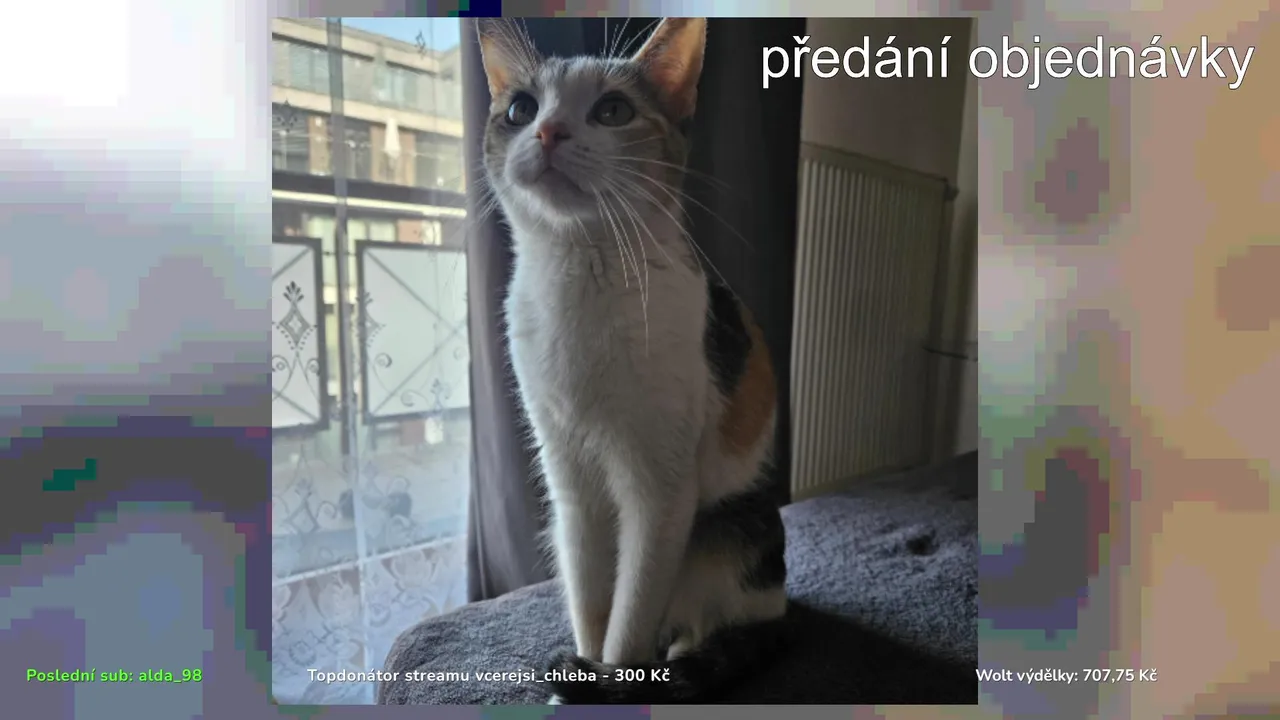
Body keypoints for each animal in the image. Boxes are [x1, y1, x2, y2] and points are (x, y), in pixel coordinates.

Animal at [476, 17, 788, 704]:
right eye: (521, 109)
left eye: (612, 111)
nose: (548, 131)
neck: (578, 274)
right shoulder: (569, 480)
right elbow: (591, 600)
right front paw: (581, 669)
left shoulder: (661, 489)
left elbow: (630, 613)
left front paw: (612, 681)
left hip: (729, 522)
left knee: (701, 632)